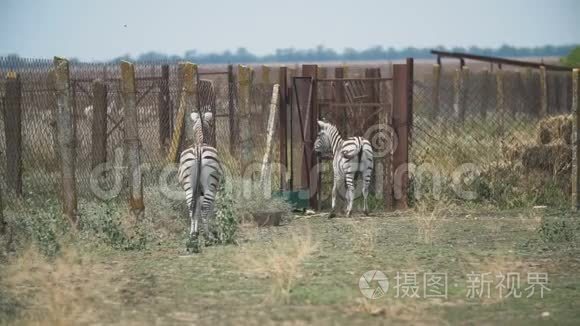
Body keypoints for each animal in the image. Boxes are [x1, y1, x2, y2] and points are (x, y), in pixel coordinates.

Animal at [177, 111, 222, 242]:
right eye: (211, 126)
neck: (199, 140)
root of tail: (198, 148)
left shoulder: (197, 191)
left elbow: (195, 209)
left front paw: (196, 231)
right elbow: (208, 210)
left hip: (189, 186)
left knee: (191, 208)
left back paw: (192, 235)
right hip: (210, 186)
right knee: (204, 209)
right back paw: (208, 235)